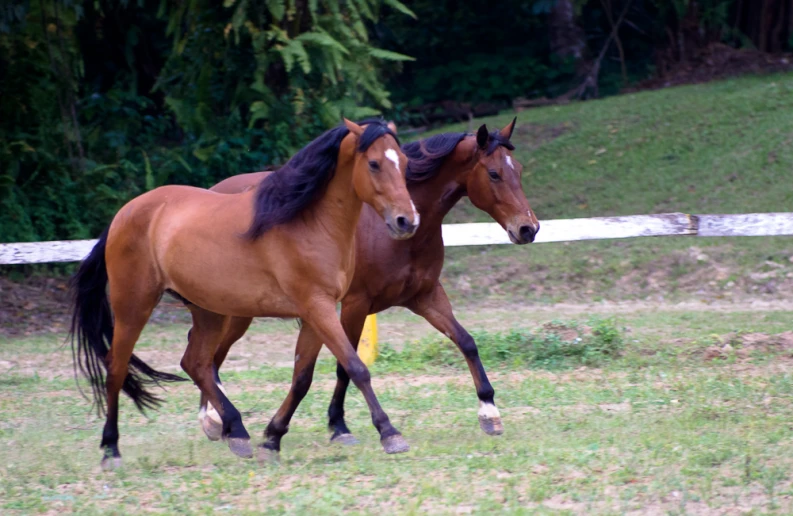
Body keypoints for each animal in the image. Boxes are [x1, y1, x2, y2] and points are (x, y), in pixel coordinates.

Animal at [66, 120, 420, 468]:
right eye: (374, 163)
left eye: (403, 162)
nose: (407, 221)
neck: (308, 222)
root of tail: (122, 216)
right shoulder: (317, 307)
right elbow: (356, 367)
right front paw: (390, 433)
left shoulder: (315, 314)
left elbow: (302, 378)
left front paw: (272, 438)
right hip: (134, 307)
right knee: (117, 368)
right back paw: (111, 449)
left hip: (209, 311)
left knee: (195, 363)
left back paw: (235, 431)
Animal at [198, 117, 540, 444]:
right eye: (494, 173)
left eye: (519, 170)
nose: (529, 228)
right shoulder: (355, 305)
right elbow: (345, 367)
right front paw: (339, 425)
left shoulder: (426, 297)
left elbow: (467, 342)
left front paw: (489, 411)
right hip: (235, 311)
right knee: (213, 356)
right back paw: (214, 420)